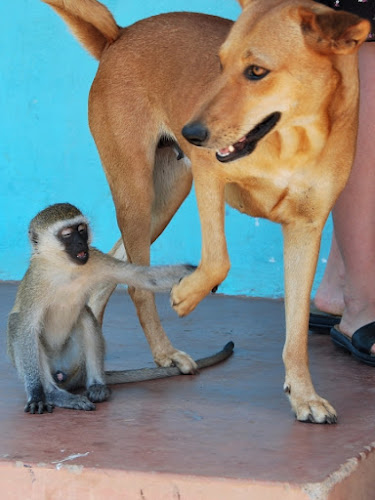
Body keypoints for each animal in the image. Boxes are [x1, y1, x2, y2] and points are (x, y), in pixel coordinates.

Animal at [6, 203, 232, 414]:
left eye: (81, 230)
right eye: (67, 235)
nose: (80, 243)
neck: (65, 268)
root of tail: (70, 377)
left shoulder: (94, 258)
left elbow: (142, 277)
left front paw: (197, 274)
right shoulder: (35, 283)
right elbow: (25, 327)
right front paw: (37, 394)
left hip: (73, 363)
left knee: (86, 317)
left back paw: (96, 385)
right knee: (21, 327)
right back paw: (54, 394)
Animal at [41, 0, 370, 422]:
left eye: (257, 71)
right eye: (219, 63)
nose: (191, 133)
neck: (295, 139)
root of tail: (120, 35)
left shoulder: (306, 230)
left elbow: (296, 330)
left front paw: (304, 395)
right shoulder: (209, 175)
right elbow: (218, 260)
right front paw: (187, 294)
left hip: (163, 203)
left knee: (110, 270)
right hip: (137, 194)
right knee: (137, 286)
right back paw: (164, 353)